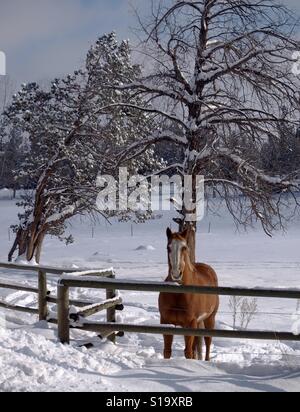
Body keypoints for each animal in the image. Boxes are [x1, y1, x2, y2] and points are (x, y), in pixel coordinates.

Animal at [158, 229, 219, 360]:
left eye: (184, 247)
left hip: (209, 318)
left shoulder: (190, 324)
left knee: (208, 341)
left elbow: (188, 352)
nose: (176, 274)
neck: (178, 294)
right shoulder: (166, 322)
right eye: (168, 247)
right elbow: (167, 351)